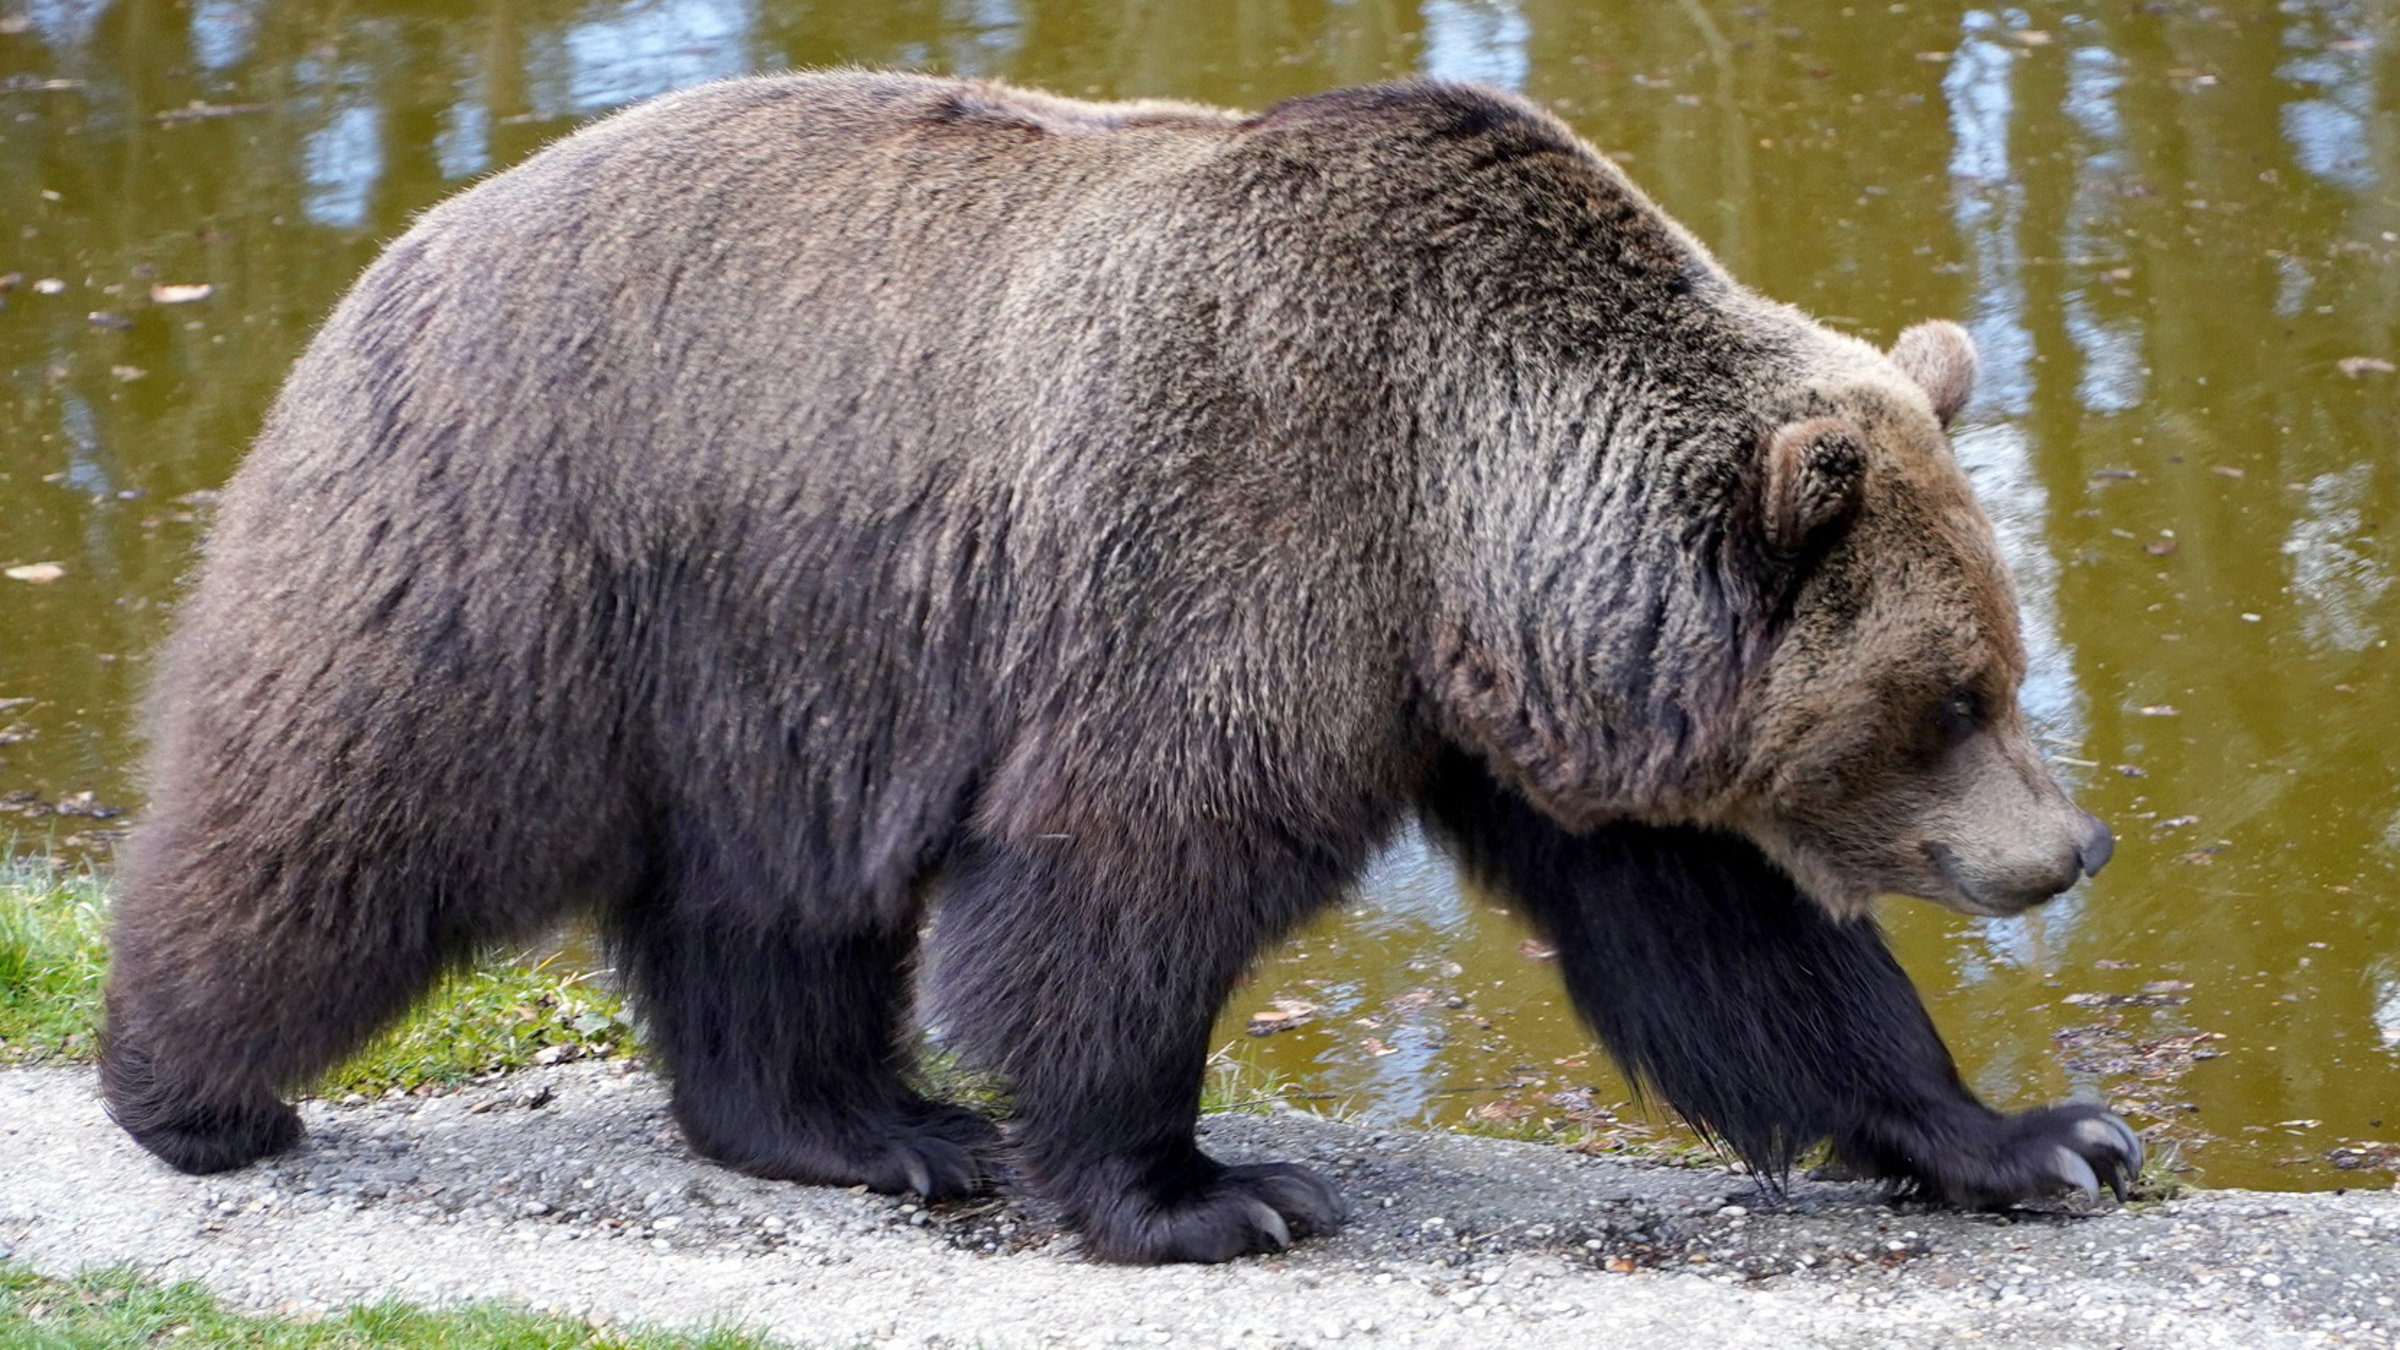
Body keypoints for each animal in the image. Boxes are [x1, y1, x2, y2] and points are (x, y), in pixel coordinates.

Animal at [100, 71, 2136, 1265]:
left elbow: (1730, 944)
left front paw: (2037, 1136)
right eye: (1953, 698)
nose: (2067, 852)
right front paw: (1211, 1189)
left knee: (767, 912)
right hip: (545, 556)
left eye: (2009, 664)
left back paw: (874, 1125)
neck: (1456, 511)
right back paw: (193, 1095)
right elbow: (1121, 882)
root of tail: (405, 245)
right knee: (346, 814)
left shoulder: (1535, 719)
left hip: (772, 665)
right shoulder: (1235, 544)